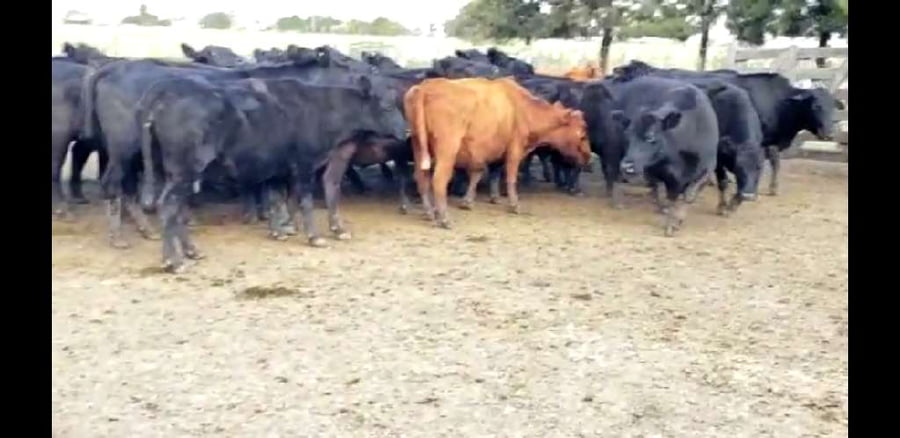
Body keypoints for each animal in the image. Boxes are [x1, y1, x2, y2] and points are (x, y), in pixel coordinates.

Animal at [137, 75, 407, 272]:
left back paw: (191, 251)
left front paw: (279, 231)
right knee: (168, 207)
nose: (406, 131)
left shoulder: (277, 169)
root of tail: (167, 90)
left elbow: (277, 199)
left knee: (178, 210)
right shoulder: (304, 165)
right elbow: (305, 201)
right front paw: (314, 237)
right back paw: (174, 262)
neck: (321, 108)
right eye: (387, 106)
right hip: (184, 170)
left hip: (174, 173)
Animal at [404, 77, 592, 228]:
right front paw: (514, 204)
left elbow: (481, 173)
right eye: (583, 132)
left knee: (421, 178)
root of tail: (427, 85)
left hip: (418, 145)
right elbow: (510, 177)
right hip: (447, 149)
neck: (523, 108)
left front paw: (470, 201)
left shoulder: (487, 151)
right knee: (438, 180)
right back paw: (444, 219)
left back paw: (429, 212)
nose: (588, 156)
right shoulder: (515, 148)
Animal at [611, 76, 720, 236]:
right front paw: (671, 222)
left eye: (650, 137)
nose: (627, 166)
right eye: (627, 136)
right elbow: (670, 196)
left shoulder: (706, 169)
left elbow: (688, 196)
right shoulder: (665, 175)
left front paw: (677, 219)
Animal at [612, 60, 844, 195]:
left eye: (833, 107)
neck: (779, 101)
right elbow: (774, 162)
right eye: (815, 105)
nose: (829, 133)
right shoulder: (763, 140)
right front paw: (771, 188)